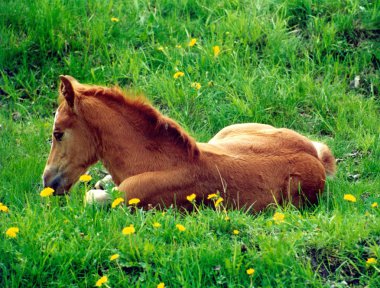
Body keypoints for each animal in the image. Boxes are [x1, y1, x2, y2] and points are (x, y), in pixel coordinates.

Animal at [42, 76, 336, 212]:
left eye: (58, 133)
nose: (48, 183)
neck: (154, 162)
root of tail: (314, 156)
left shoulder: (131, 198)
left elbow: (92, 198)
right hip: (225, 132)